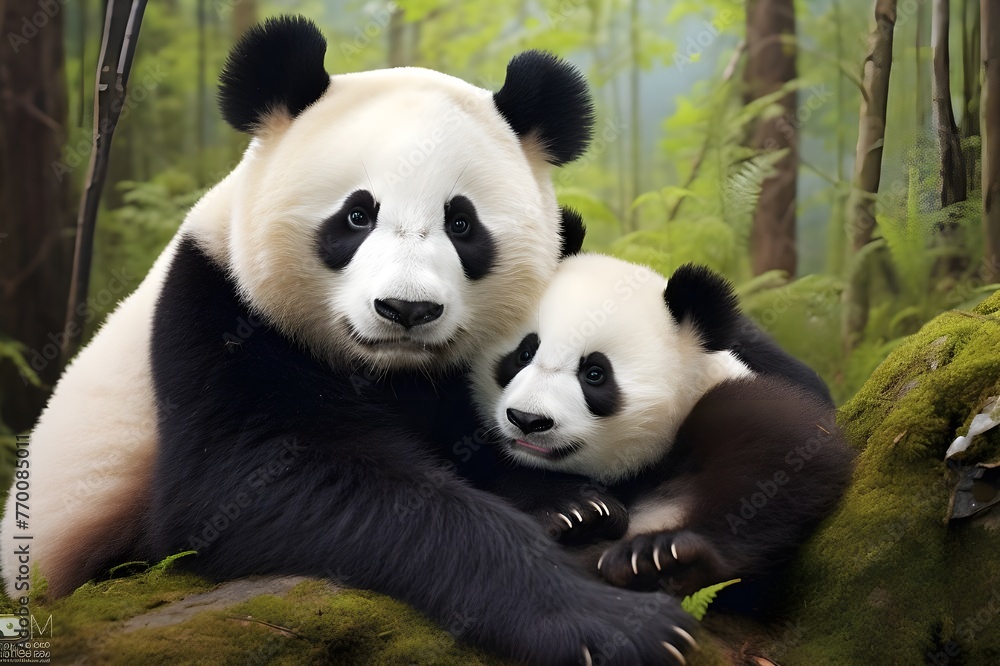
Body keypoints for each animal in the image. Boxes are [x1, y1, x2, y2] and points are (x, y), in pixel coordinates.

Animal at [2, 16, 700, 666]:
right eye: (357, 216)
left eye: (462, 223)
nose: (407, 309)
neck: (385, 368)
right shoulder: (215, 314)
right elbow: (259, 482)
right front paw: (611, 622)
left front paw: (571, 505)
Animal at [471, 253, 854, 601]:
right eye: (524, 353)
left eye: (594, 373)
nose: (527, 420)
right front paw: (576, 512)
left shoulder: (723, 403)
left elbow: (782, 453)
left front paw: (661, 556)